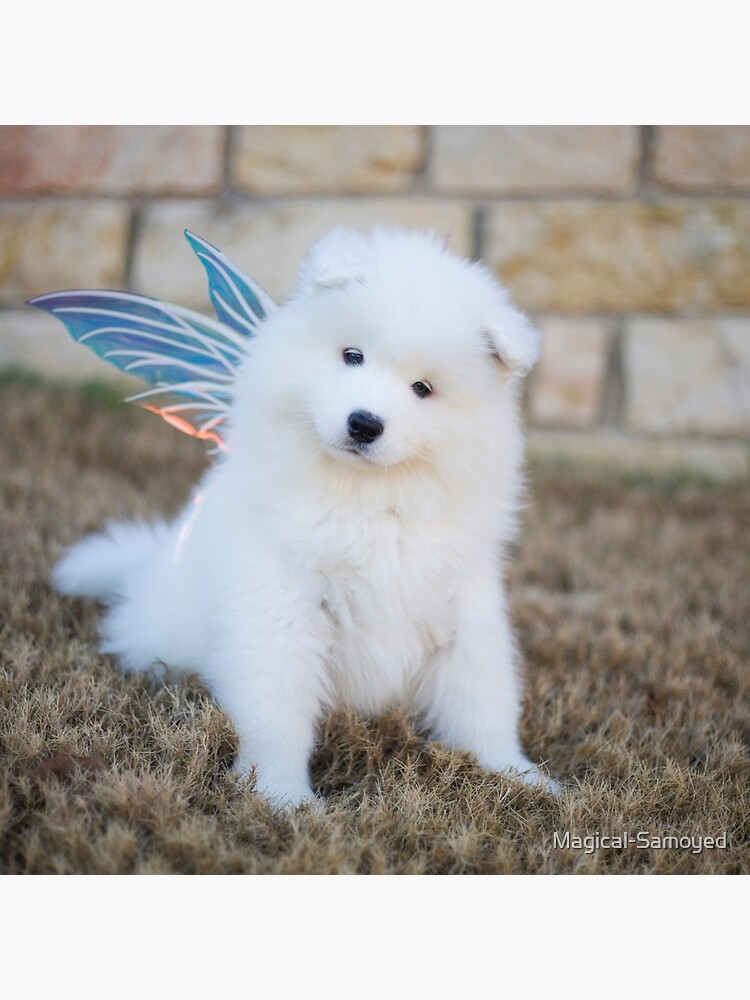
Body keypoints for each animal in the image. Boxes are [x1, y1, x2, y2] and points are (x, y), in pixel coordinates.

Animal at [53, 225, 560, 804]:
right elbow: (277, 707)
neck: (369, 498)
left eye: (423, 389)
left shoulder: (463, 604)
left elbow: (483, 698)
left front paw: (518, 774)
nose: (364, 423)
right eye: (352, 355)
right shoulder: (281, 602)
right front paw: (281, 796)